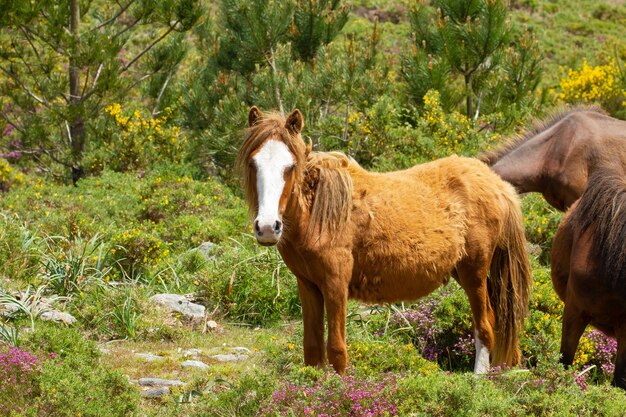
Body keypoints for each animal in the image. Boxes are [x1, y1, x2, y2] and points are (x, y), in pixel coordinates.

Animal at [236, 106, 528, 374]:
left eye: (290, 166)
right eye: (253, 164)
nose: (267, 227)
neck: (318, 212)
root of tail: (497, 184)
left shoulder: (335, 284)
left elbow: (337, 350)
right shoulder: (308, 286)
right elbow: (312, 349)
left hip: (474, 272)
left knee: (484, 325)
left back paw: (480, 378)